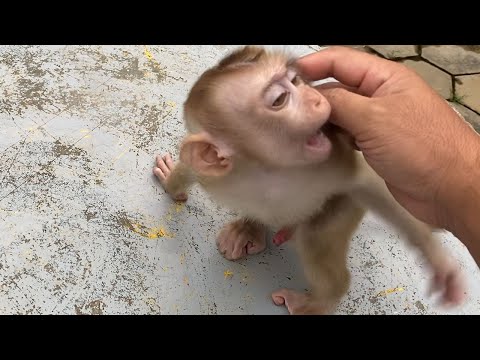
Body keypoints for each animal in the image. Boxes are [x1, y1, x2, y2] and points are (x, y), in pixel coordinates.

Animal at [153, 45, 464, 316]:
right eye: (280, 100)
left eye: (296, 81)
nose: (319, 100)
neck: (266, 170)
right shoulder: (212, 170)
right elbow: (189, 168)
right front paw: (172, 183)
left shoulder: (333, 162)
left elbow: (368, 183)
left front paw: (434, 257)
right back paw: (249, 228)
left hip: (343, 209)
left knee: (315, 238)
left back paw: (316, 302)